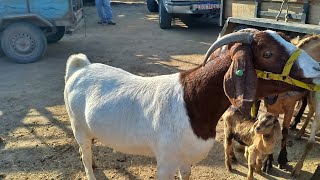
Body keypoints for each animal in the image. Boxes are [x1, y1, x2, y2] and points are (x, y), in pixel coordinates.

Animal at [63, 30, 320, 179]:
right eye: (267, 53)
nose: (317, 69)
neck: (192, 102)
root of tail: (80, 66)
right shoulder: (166, 162)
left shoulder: (185, 159)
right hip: (78, 127)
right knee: (83, 154)